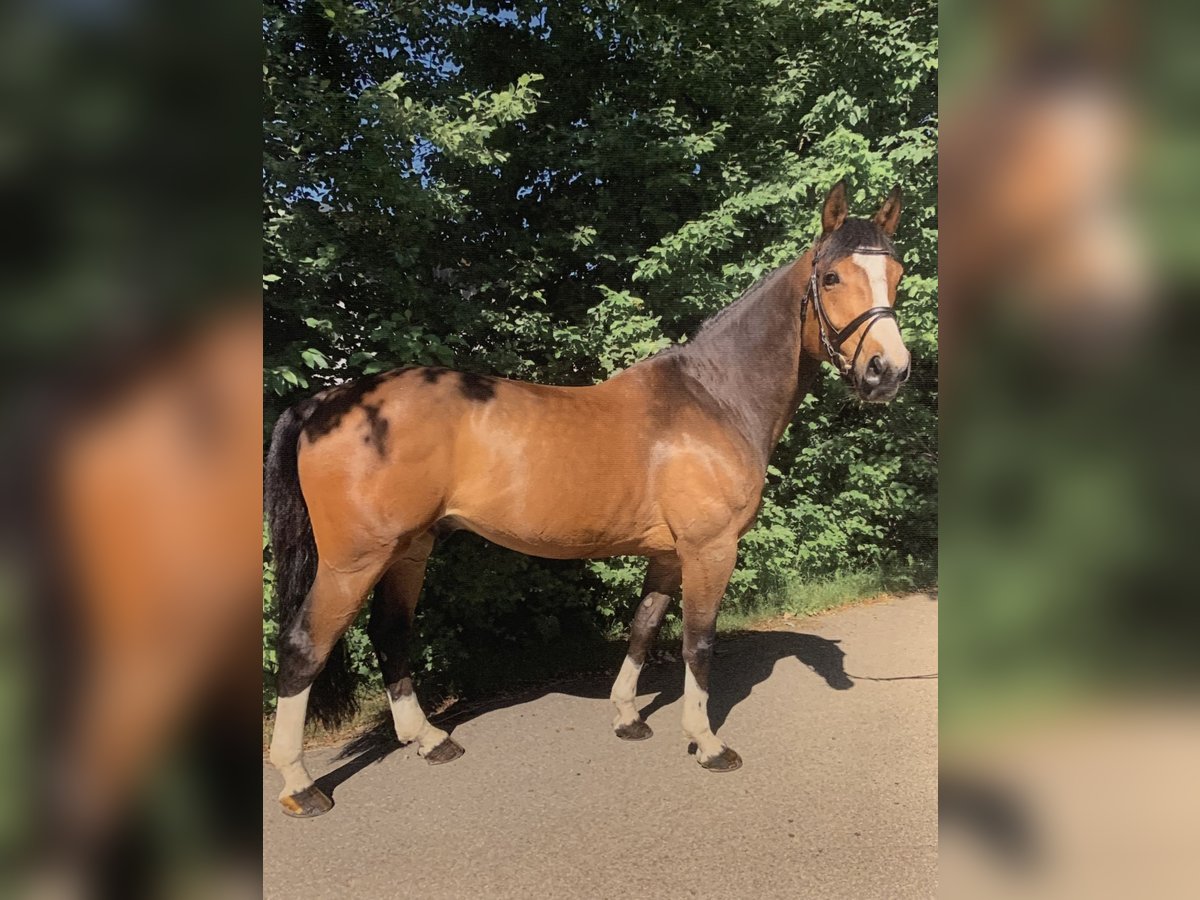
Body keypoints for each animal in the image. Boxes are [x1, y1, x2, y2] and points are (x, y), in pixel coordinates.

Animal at [267, 181, 907, 816]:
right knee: (303, 646)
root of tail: (328, 402)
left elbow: (643, 627)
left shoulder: (669, 554)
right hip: (355, 560)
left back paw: (428, 740)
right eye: (832, 277)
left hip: (409, 550)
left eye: (898, 272)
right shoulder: (710, 550)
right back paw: (300, 785)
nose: (889, 371)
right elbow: (698, 643)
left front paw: (627, 717)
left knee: (390, 634)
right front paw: (706, 743)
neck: (713, 399)